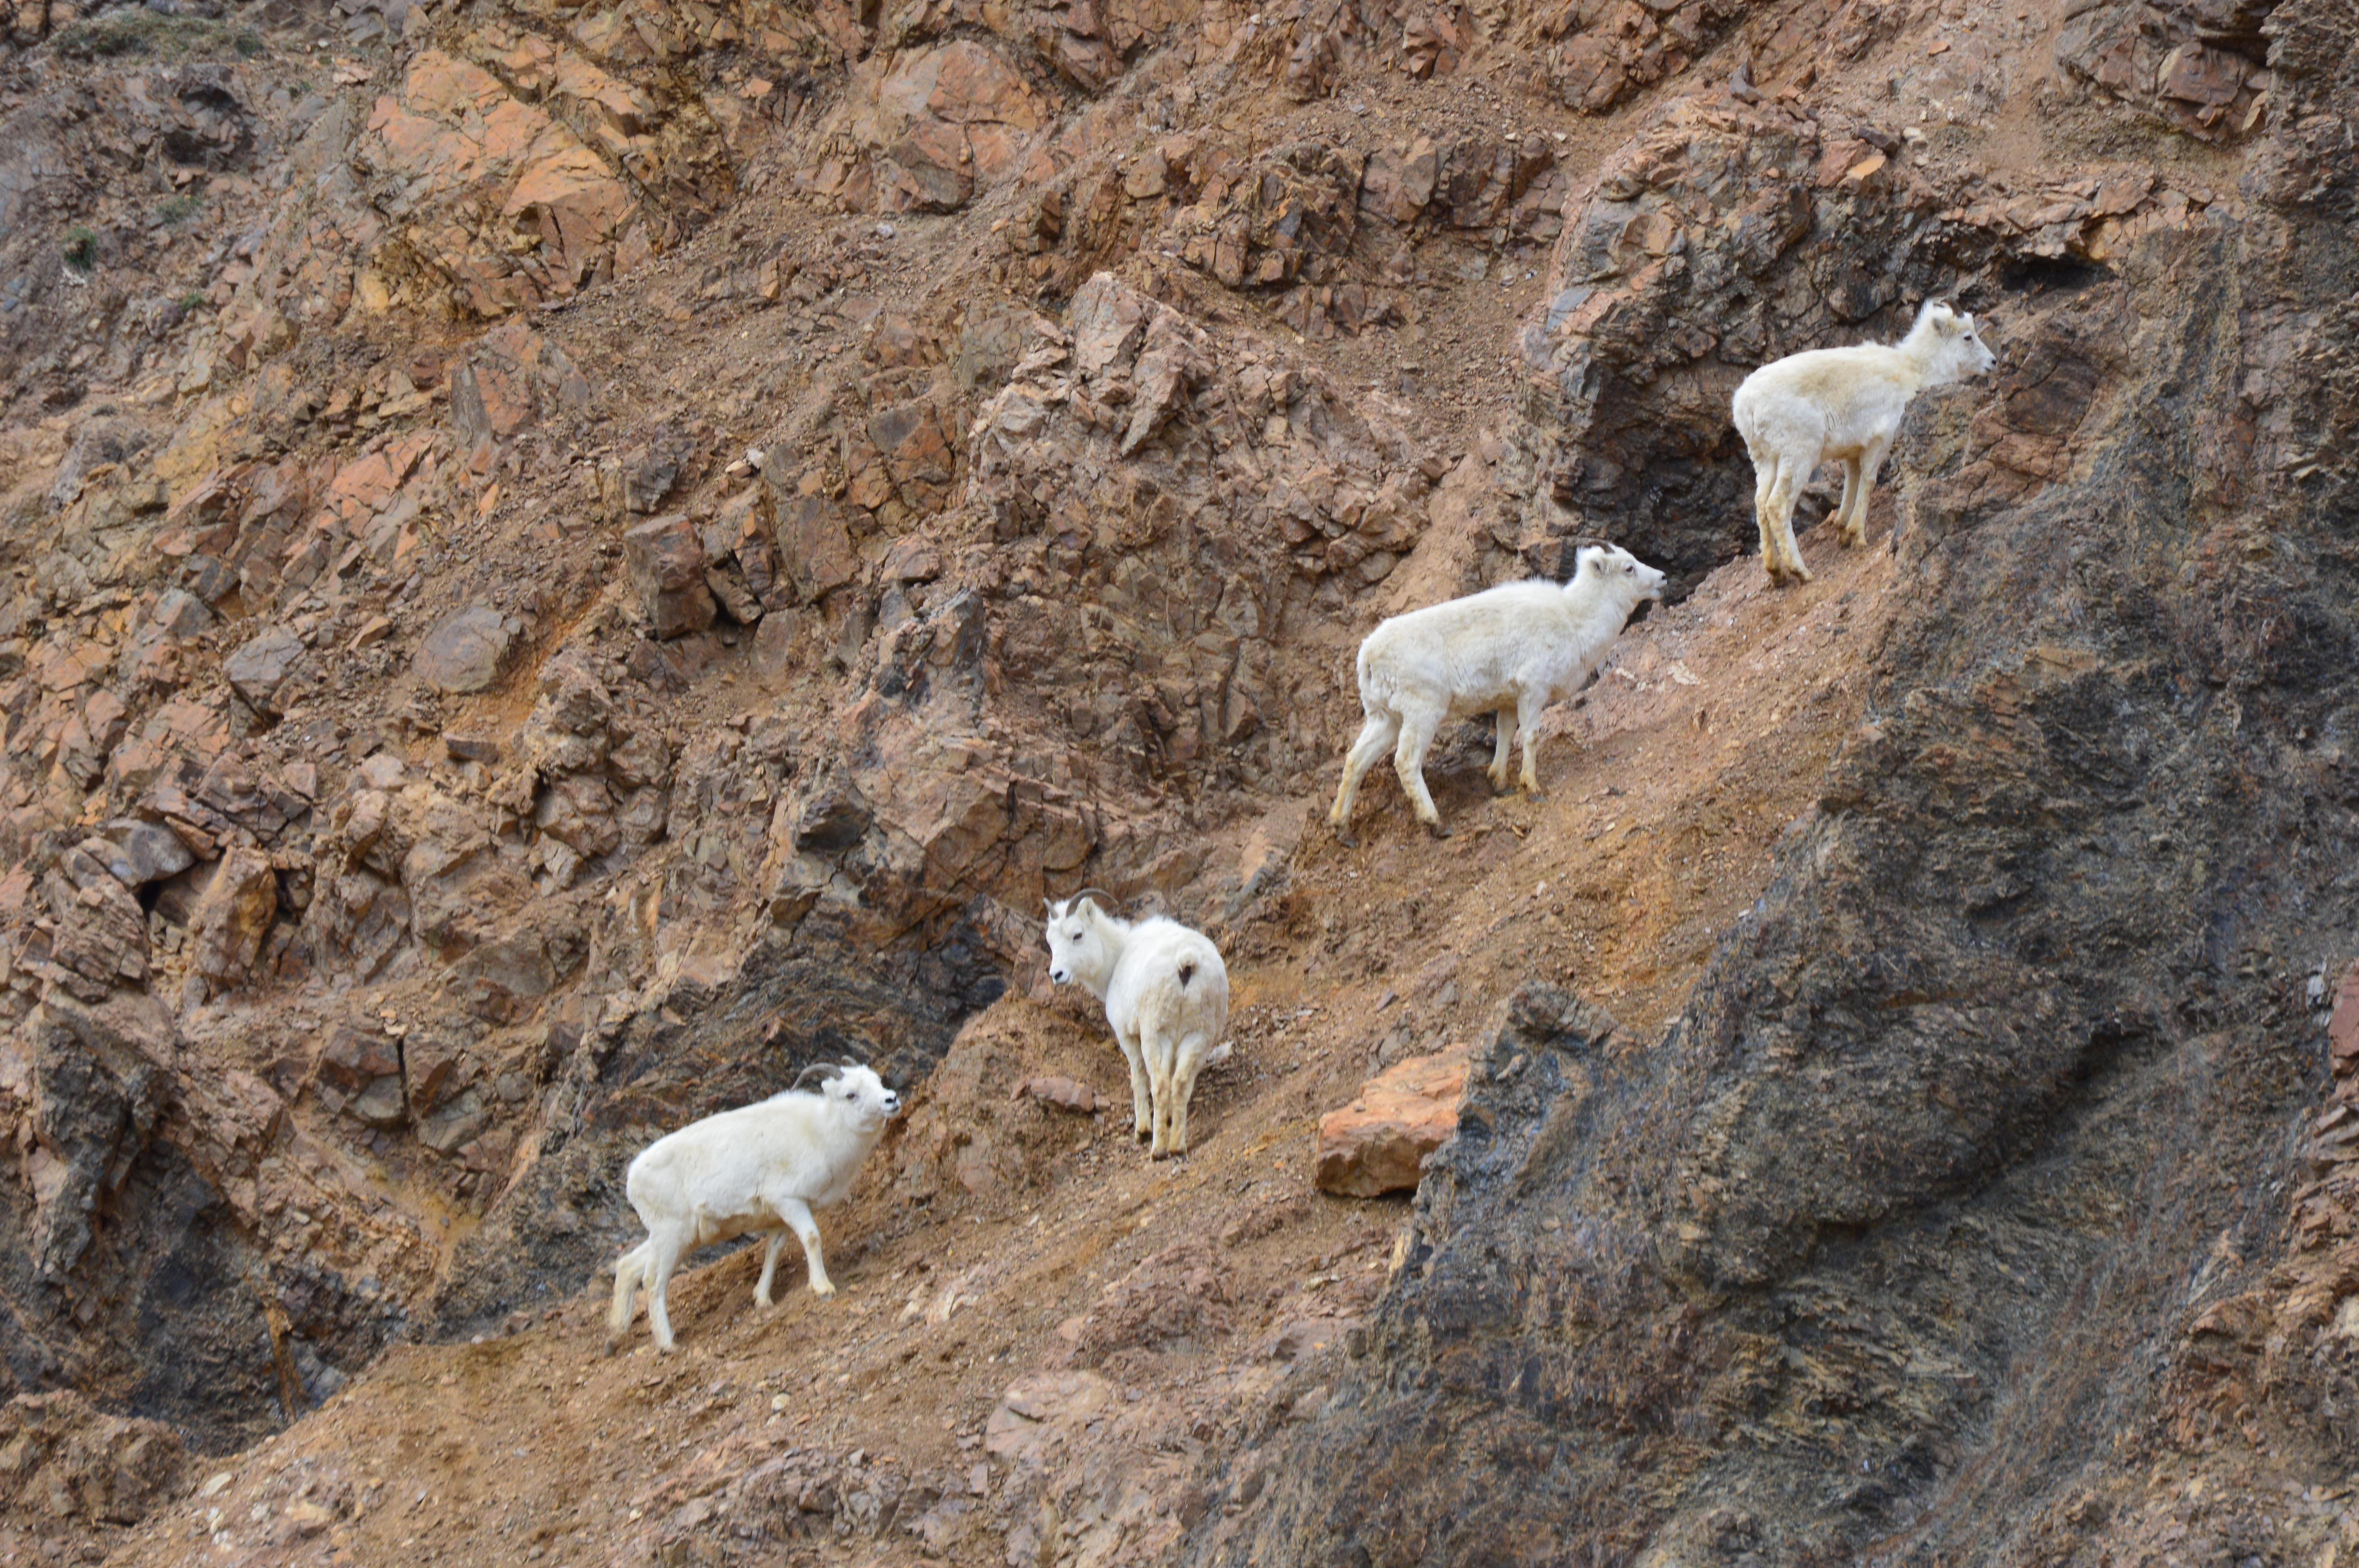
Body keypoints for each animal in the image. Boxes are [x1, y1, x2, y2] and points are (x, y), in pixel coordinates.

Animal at [604, 1056, 896, 1348]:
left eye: (877, 1081)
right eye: (851, 1094)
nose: (891, 1100)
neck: (821, 1135)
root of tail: (633, 1178)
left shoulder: (779, 1217)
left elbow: (774, 1251)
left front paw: (763, 1300)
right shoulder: (790, 1201)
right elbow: (812, 1238)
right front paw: (823, 1288)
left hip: (680, 1236)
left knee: (628, 1266)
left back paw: (617, 1334)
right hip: (672, 1234)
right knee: (653, 1281)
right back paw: (669, 1346)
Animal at [1047, 886, 1236, 1155]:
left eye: (1078, 935)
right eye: (1050, 942)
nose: (1057, 975)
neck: (1116, 959)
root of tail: (1186, 961)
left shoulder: (1127, 1035)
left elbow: (1137, 1077)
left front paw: (1143, 1131)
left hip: (1156, 1035)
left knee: (1160, 1083)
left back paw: (1157, 1149)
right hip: (1200, 1036)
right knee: (1181, 1083)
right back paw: (1177, 1146)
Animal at [1330, 542, 1679, 844]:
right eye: (1629, 568)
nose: (1663, 578)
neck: (1574, 620)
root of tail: (1368, 656)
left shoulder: (1509, 700)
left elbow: (1506, 734)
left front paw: (1500, 785)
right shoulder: (1533, 690)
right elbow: (1531, 737)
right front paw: (1532, 789)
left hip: (1384, 718)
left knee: (1356, 761)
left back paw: (1342, 830)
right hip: (1422, 713)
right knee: (1405, 762)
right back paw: (1436, 824)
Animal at [1727, 297, 2000, 584]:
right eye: (1968, 337)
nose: (1993, 362)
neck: (1915, 371)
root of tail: (1746, 405)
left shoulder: (1852, 453)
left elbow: (1852, 483)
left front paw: (1842, 532)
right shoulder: (1879, 441)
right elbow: (1869, 481)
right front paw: (1857, 536)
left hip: (1765, 461)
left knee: (1760, 504)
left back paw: (1776, 572)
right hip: (1798, 457)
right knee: (1777, 506)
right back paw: (1801, 572)